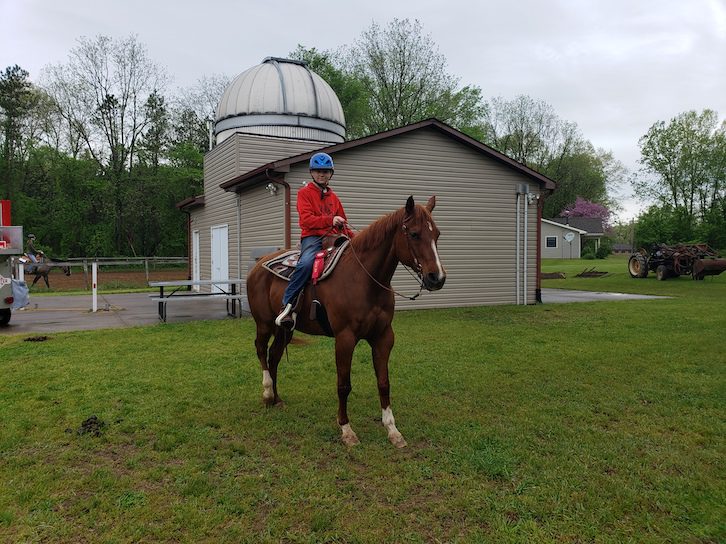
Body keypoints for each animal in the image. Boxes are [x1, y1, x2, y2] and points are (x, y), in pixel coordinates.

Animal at [247, 196, 446, 446]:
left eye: (437, 234)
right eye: (414, 234)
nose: (437, 278)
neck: (363, 279)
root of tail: (258, 265)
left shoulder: (384, 337)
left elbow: (384, 383)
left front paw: (392, 430)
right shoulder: (345, 338)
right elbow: (343, 385)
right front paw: (346, 429)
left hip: (286, 330)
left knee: (273, 356)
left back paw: (277, 399)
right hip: (264, 323)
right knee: (260, 350)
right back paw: (266, 394)